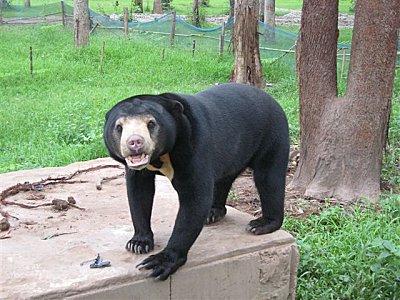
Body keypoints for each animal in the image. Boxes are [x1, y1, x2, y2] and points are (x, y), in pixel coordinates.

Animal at [104, 82, 288, 282]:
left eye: (151, 123)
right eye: (119, 127)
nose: (135, 142)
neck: (160, 157)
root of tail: (270, 98)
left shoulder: (193, 145)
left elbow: (195, 199)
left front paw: (159, 263)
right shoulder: (140, 170)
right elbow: (139, 193)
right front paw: (138, 243)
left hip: (271, 135)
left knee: (269, 179)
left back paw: (261, 224)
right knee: (223, 179)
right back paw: (213, 213)